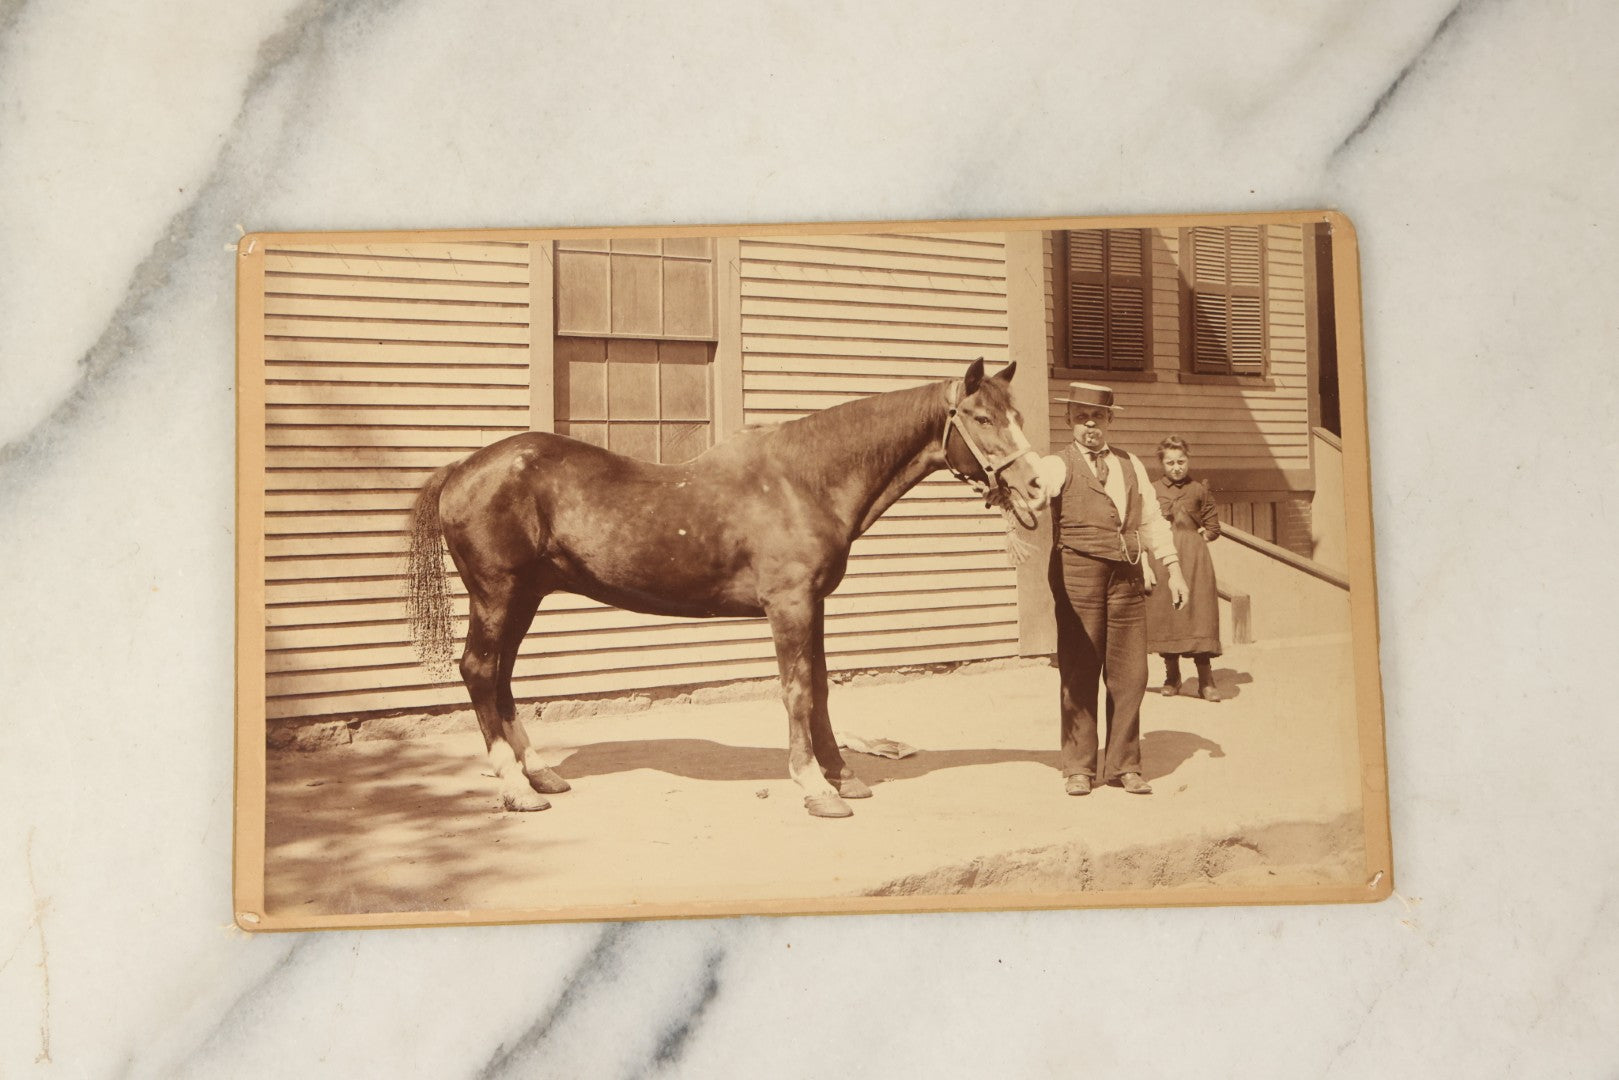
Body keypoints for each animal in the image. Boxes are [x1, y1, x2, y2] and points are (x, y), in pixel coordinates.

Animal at [405, 357, 1049, 818]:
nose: (1038, 489)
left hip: (526, 597)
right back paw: (516, 787)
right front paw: (815, 787)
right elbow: (797, 692)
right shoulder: (788, 606)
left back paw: (540, 773)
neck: (804, 480)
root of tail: (461, 469)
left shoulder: (813, 605)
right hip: (497, 594)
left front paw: (843, 777)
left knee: (503, 676)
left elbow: (820, 689)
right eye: (982, 418)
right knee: (481, 671)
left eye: (1017, 416)